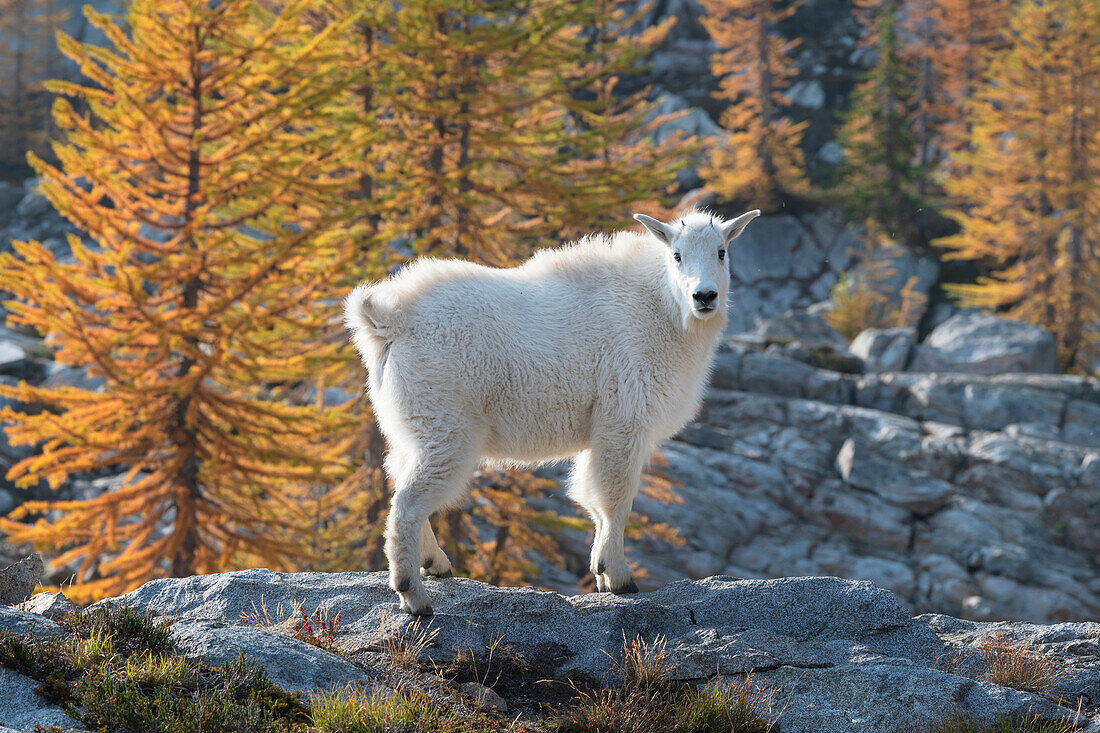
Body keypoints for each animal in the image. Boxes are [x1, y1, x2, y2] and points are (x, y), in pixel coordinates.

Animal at [347, 206, 761, 611]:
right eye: (676, 255)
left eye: (721, 252)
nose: (704, 296)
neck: (661, 308)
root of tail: (389, 322)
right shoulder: (624, 420)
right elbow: (615, 499)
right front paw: (620, 577)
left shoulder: (601, 431)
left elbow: (592, 498)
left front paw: (600, 572)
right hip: (445, 427)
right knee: (408, 503)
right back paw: (414, 594)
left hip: (414, 425)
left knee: (400, 479)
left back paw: (436, 563)